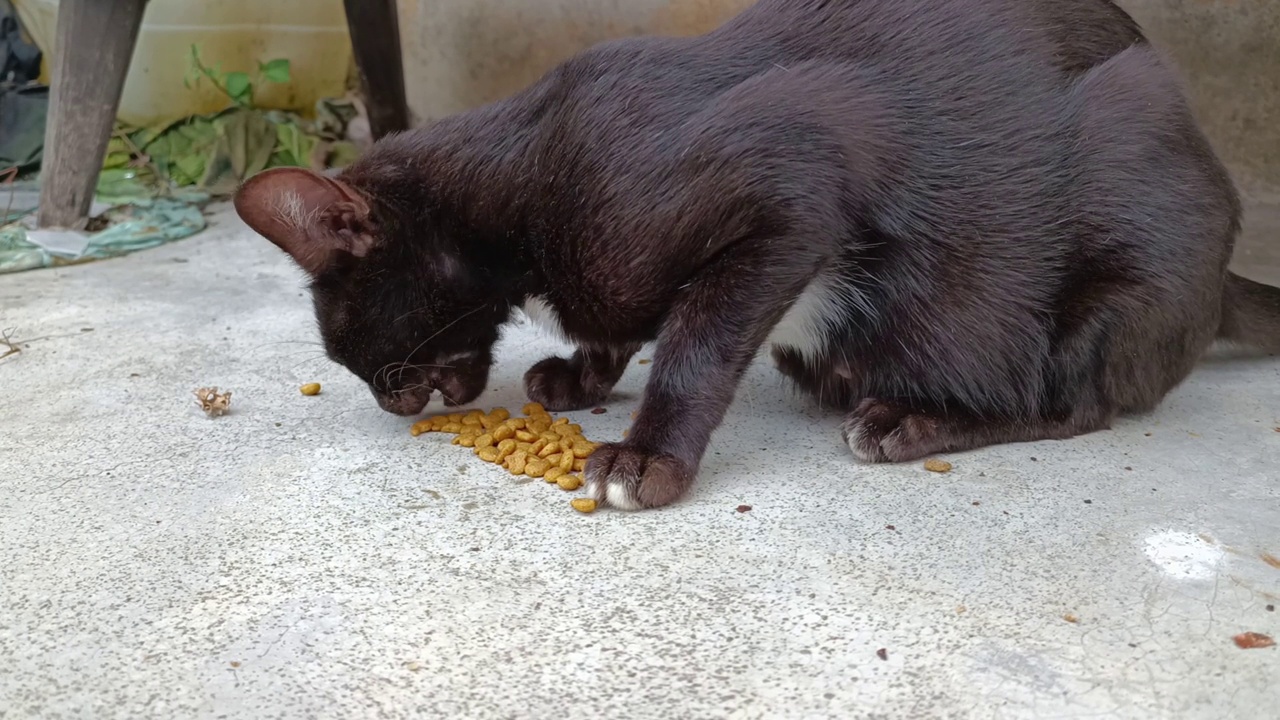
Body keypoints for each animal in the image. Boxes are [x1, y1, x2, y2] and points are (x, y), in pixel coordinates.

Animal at [232, 0, 1280, 507]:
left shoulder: (795, 183)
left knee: (1075, 401)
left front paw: (649, 453)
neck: (526, 173)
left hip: (1122, 222)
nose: (390, 403)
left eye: (364, 352)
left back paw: (913, 419)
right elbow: (625, 326)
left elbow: (698, 341)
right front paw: (580, 373)